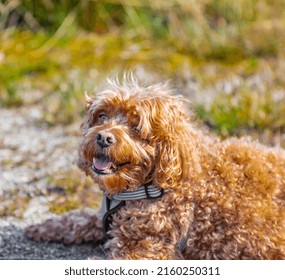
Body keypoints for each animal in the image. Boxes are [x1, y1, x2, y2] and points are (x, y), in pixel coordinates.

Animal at [25, 75, 284, 260]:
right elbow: (77, 219)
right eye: (102, 116)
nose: (103, 138)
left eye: (136, 127)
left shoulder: (149, 247)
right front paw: (43, 227)